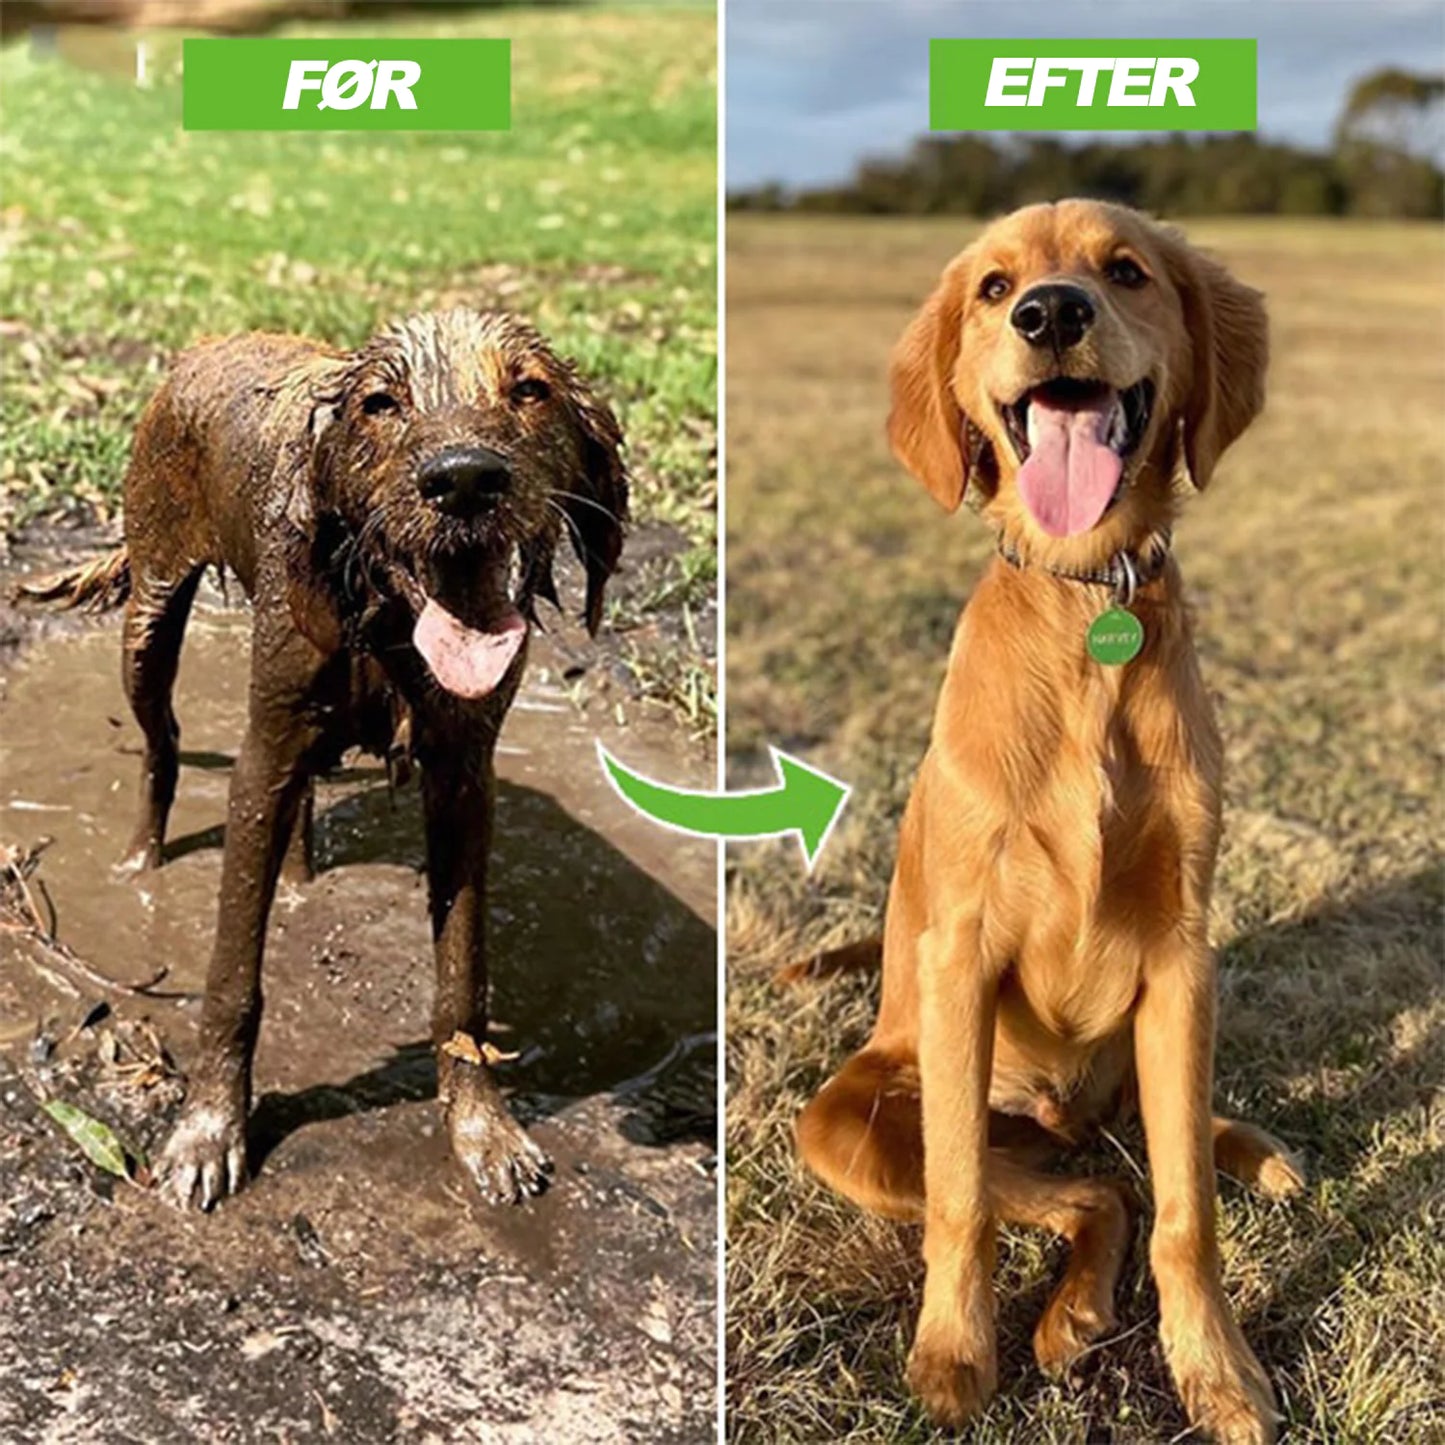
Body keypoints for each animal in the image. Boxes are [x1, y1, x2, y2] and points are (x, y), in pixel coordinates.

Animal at [18, 310, 627, 1213]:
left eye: (529, 389)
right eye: (380, 402)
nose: (464, 480)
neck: (382, 612)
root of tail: (212, 341)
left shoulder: (462, 777)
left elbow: (462, 983)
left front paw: (481, 1131)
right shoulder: (261, 756)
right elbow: (232, 978)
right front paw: (208, 1133)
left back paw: (301, 877)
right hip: (151, 613)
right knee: (162, 744)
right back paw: (140, 859)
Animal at [797, 203, 1306, 1445]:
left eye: (1124, 270)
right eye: (991, 288)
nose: (1049, 313)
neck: (1086, 608)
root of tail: (1057, 1116)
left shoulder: (1180, 955)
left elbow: (1185, 1210)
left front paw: (1216, 1371)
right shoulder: (961, 952)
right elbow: (962, 1204)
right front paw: (951, 1353)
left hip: (1148, 1041)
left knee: (1135, 1165)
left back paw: (1246, 1156)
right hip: (857, 1115)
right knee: (1080, 1187)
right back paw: (1066, 1311)